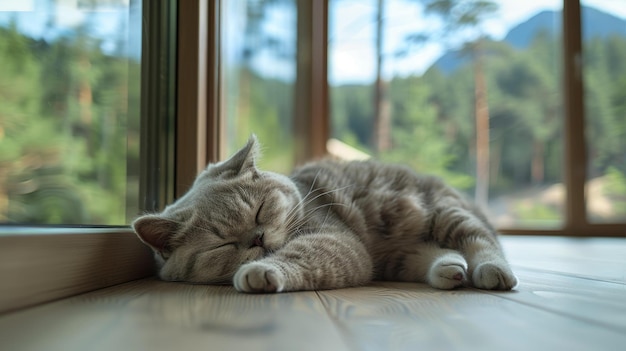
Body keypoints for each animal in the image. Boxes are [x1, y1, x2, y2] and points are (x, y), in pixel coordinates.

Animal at [133, 136, 516, 292]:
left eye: (259, 212)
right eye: (222, 244)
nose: (258, 239)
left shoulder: (335, 239)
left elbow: (300, 255)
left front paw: (261, 271)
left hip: (444, 212)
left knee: (482, 242)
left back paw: (491, 271)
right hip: (401, 257)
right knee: (438, 255)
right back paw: (451, 270)